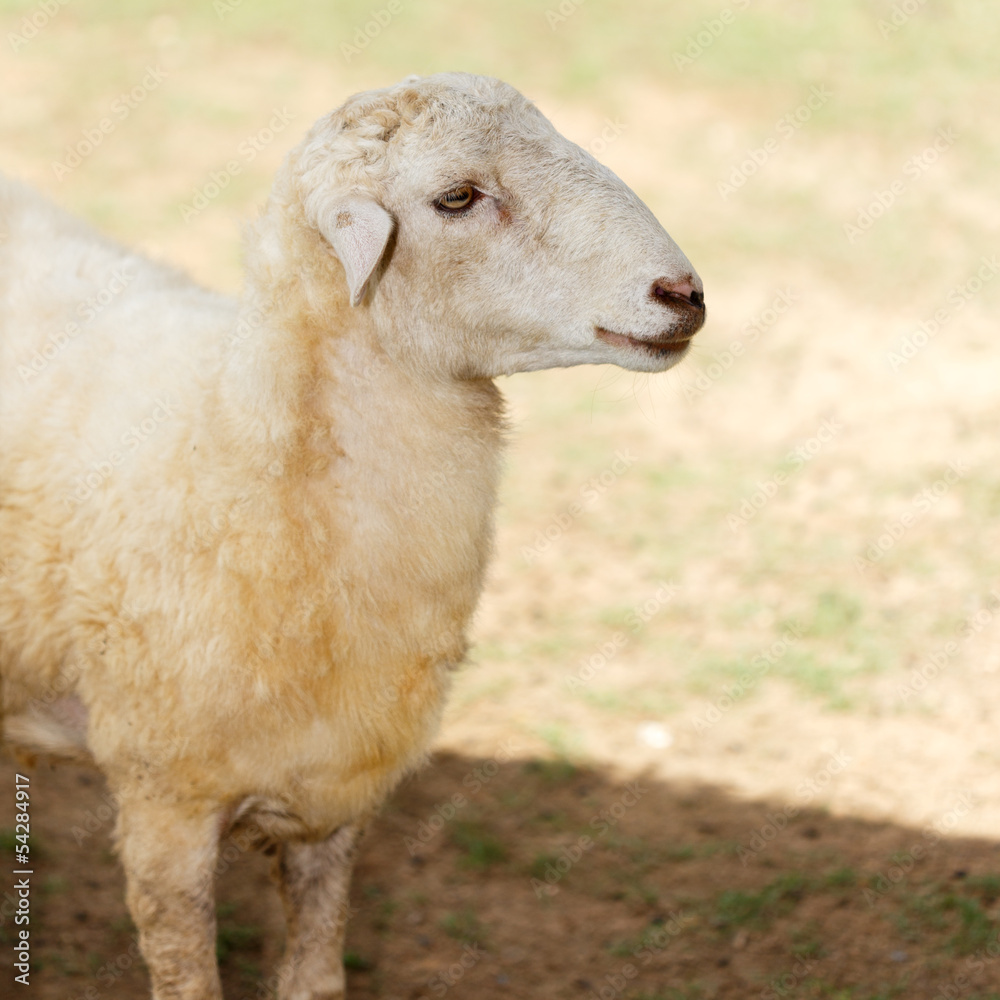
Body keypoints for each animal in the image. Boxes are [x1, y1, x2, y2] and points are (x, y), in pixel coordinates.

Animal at [0, 72, 705, 999]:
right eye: (457, 197)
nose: (684, 295)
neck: (233, 453)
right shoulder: (163, 801)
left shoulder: (335, 792)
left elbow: (316, 974)